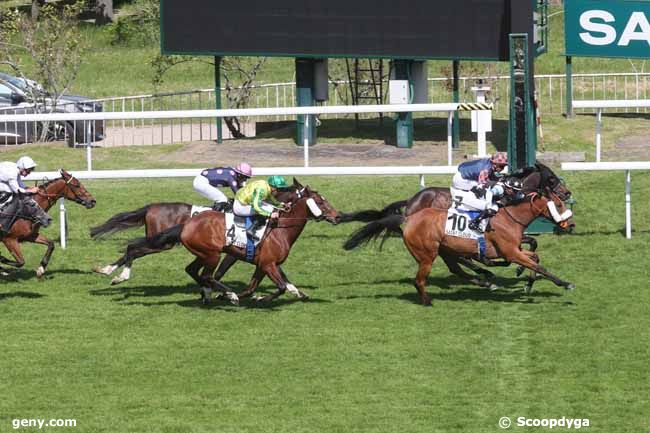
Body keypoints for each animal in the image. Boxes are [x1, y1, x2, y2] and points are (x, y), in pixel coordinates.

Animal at [90, 177, 308, 286]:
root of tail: (152, 207)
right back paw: (119, 275)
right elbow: (222, 269)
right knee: (134, 250)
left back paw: (107, 270)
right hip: (163, 243)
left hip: (159, 240)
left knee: (131, 249)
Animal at [124, 185, 342, 304]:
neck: (280, 229)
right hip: (212, 254)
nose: (338, 216)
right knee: (207, 275)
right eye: (320, 202)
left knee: (193, 270)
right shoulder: (267, 264)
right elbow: (279, 287)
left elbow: (255, 287)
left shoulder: (264, 264)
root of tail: (186, 224)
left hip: (203, 254)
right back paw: (225, 293)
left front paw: (298, 293)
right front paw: (257, 298)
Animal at [344, 187, 572, 306]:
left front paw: (527, 283)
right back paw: (428, 301)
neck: (509, 217)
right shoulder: (511, 252)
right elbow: (538, 264)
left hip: (446, 251)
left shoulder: (513, 250)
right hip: (427, 255)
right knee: (419, 280)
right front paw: (565, 283)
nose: (571, 225)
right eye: (559, 204)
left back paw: (486, 281)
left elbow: (535, 257)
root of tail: (408, 218)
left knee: (456, 269)